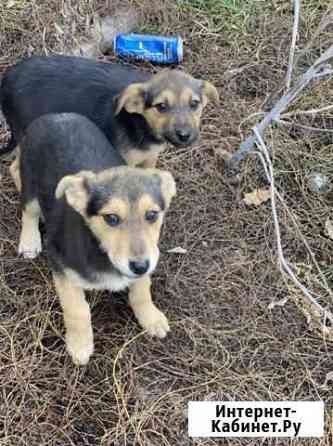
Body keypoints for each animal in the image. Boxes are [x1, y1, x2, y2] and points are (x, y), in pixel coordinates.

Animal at [1, 54, 219, 190]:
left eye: (194, 104)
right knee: (15, 168)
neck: (139, 124)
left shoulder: (149, 158)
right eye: (161, 106)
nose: (185, 135)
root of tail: (7, 79)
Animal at [18, 112, 176, 366]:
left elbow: (142, 290)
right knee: (29, 211)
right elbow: (77, 309)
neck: (102, 252)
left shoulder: (149, 257)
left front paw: (151, 317)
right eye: (111, 218)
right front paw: (80, 344)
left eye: (152, 215)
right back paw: (30, 241)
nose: (139, 265)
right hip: (29, 180)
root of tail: (56, 115)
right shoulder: (60, 266)